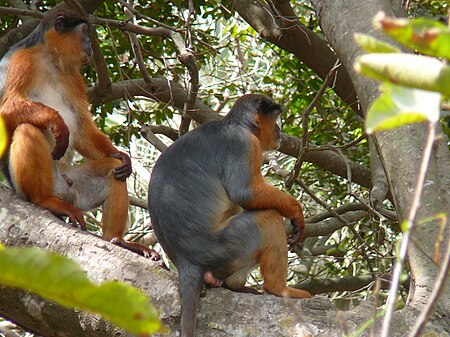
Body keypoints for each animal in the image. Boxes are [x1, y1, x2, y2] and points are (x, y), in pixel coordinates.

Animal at [0, 8, 158, 260]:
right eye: (84, 32)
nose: (90, 44)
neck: (51, 60)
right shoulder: (20, 60)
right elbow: (7, 107)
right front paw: (57, 122)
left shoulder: (72, 74)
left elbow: (82, 125)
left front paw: (123, 156)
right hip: (40, 182)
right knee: (27, 129)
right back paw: (43, 200)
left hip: (75, 188)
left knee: (114, 169)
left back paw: (118, 240)